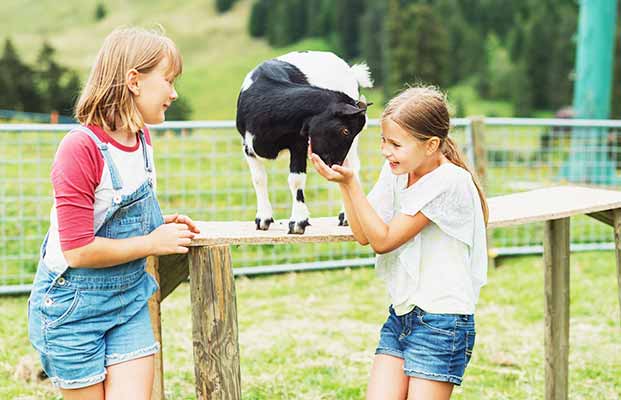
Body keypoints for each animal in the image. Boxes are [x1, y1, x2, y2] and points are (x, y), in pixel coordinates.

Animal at [236, 52, 372, 234]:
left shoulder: (299, 144)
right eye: (345, 131)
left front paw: (298, 222)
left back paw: (345, 216)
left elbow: (296, 179)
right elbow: (259, 179)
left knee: (353, 169)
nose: (334, 164)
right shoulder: (247, 146)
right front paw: (263, 218)